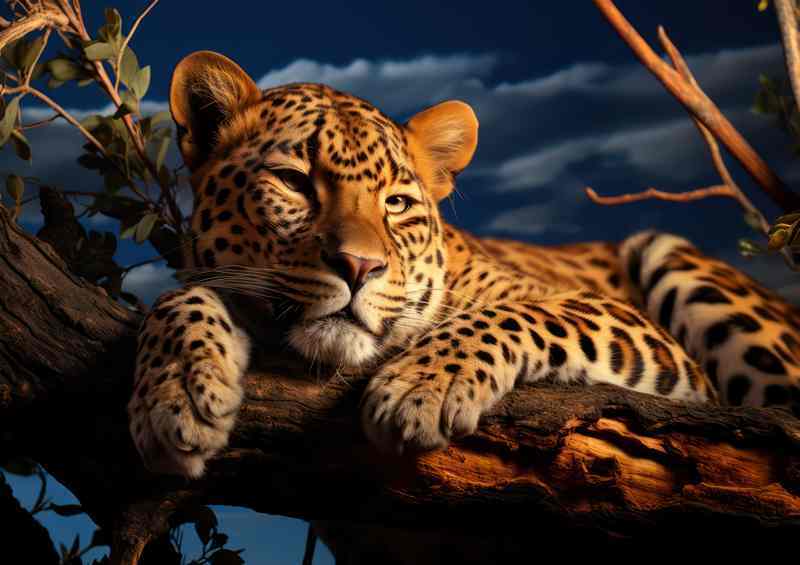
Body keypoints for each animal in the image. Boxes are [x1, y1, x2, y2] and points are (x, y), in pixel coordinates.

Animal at [127, 51, 800, 479]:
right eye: (293, 182)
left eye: (396, 203)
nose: (358, 266)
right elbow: (176, 298)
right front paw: (175, 392)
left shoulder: (650, 343)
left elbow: (519, 314)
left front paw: (422, 384)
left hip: (673, 256)